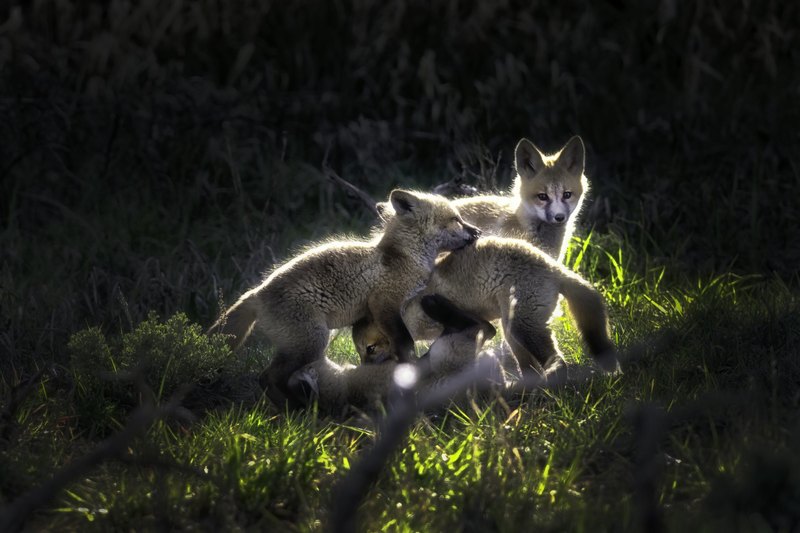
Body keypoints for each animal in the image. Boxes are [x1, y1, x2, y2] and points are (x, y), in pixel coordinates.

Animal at [207, 189, 480, 408]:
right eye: (456, 220)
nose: (477, 231)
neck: (403, 258)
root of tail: (257, 292)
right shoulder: (384, 303)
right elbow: (404, 343)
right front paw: (408, 370)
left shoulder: (375, 313)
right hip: (312, 342)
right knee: (267, 377)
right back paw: (297, 409)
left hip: (305, 345)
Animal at [357, 236, 619, 377]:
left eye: (369, 349)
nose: (362, 368)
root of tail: (554, 268)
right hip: (512, 330)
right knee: (529, 365)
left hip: (524, 327)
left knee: (557, 361)